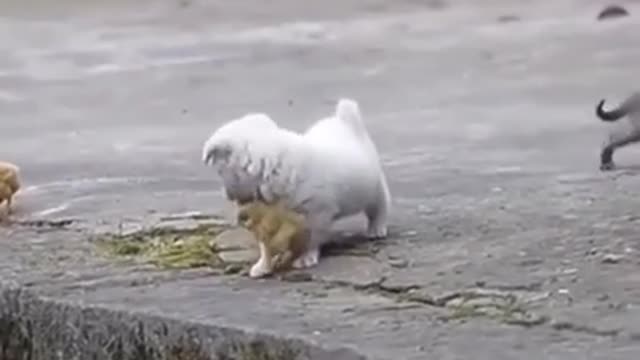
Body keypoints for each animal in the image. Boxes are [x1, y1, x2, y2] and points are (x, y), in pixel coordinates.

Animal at [201, 98, 390, 270]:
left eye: (220, 172)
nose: (226, 195)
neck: (276, 168)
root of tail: (344, 121)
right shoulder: (265, 217)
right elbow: (265, 243)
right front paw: (263, 265)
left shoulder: (317, 213)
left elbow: (311, 238)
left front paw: (306, 258)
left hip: (373, 188)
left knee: (379, 205)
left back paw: (377, 228)